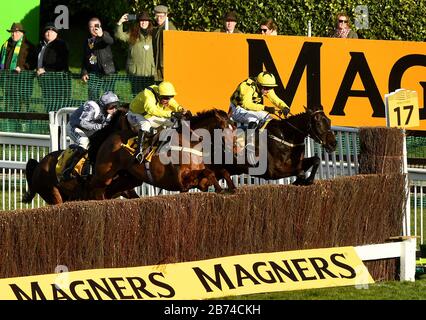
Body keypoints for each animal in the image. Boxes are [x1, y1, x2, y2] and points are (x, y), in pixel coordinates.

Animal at [88, 109, 238, 200]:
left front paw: (231, 187)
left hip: (129, 178)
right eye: (224, 129)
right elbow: (209, 172)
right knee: (94, 187)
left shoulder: (199, 183)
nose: (236, 149)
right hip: (104, 174)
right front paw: (221, 189)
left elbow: (220, 171)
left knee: (113, 190)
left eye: (234, 127)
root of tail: (111, 135)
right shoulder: (182, 180)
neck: (189, 142)